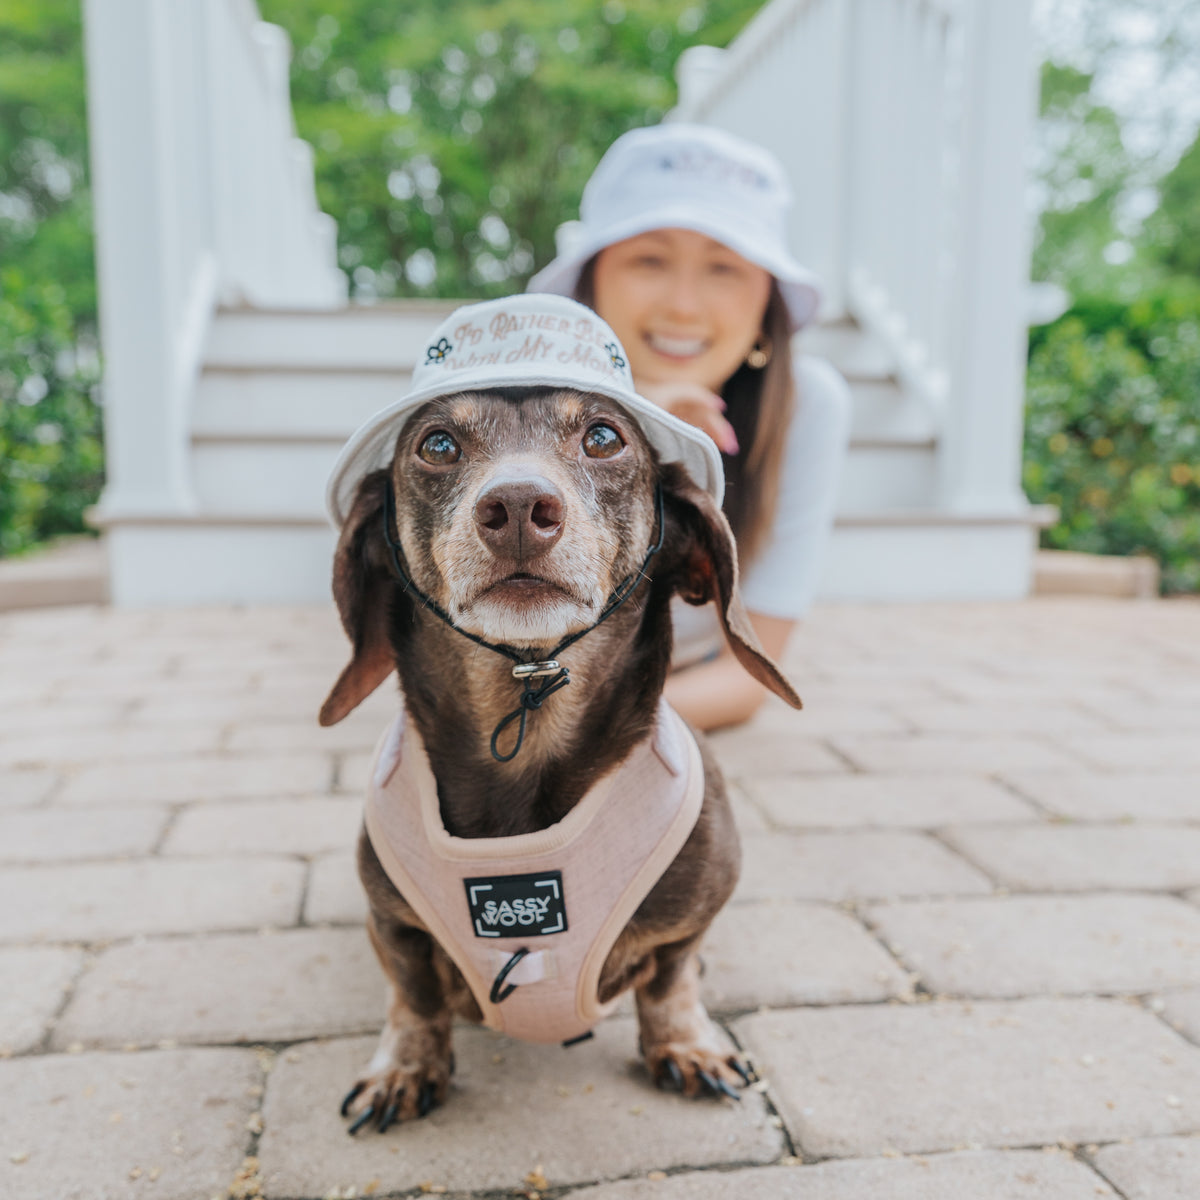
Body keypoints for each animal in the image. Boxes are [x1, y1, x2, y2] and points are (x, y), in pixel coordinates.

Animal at [324, 350, 801, 1128]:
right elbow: (414, 998)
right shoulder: (392, 924)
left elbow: (670, 981)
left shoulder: (696, 912)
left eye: (605, 438)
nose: (519, 507)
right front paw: (404, 1067)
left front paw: (685, 1045)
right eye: (437, 445)